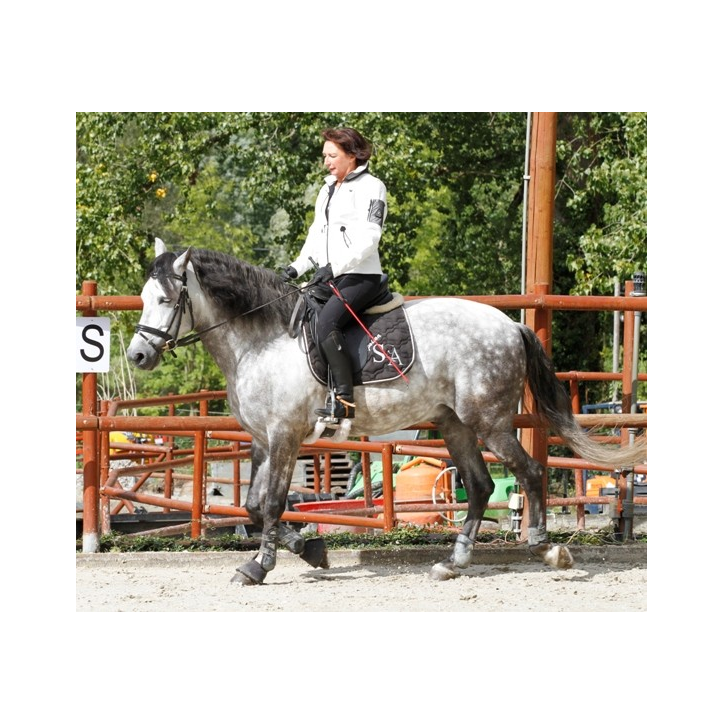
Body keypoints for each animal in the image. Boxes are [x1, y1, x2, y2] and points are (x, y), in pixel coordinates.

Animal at [127, 238, 646, 585]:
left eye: (167, 299)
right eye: (145, 297)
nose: (137, 355)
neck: (263, 340)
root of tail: (511, 324)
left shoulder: (285, 436)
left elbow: (271, 503)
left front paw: (259, 565)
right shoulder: (261, 439)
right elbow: (252, 506)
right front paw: (311, 550)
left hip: (489, 422)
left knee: (531, 472)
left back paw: (545, 547)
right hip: (454, 423)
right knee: (480, 485)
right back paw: (453, 561)